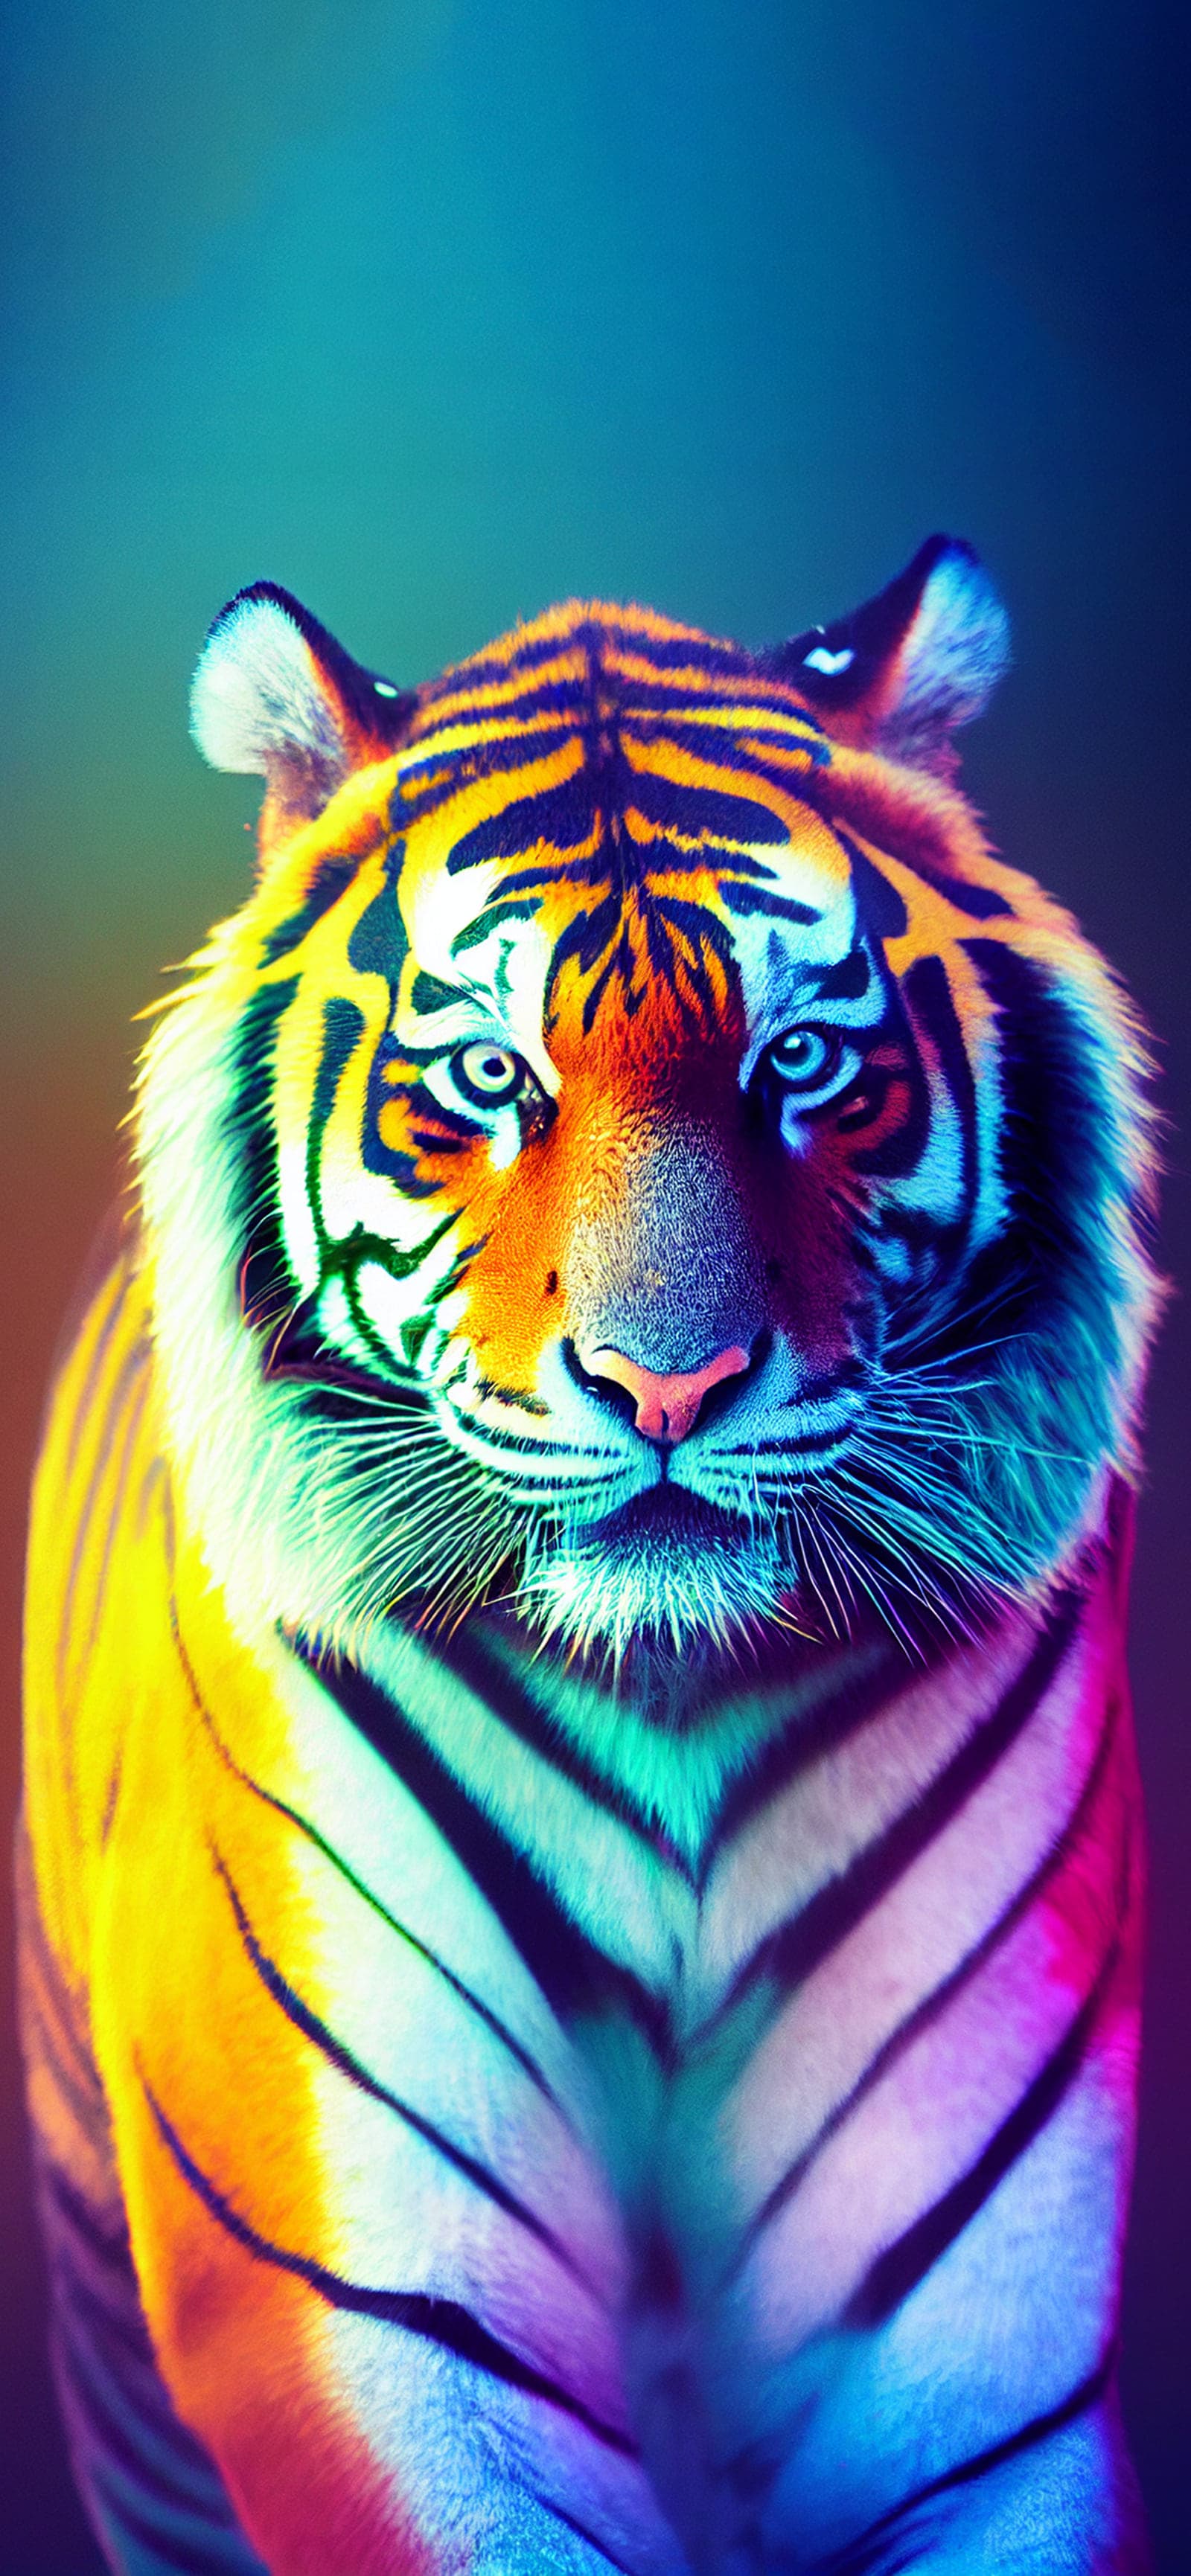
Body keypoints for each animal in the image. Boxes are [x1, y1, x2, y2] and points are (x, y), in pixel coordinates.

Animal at [20, 534, 1160, 2575]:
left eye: (804, 1061)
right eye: (485, 1075)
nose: (667, 1379)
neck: (674, 1698)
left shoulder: (972, 2361)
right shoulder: (369, 2324)